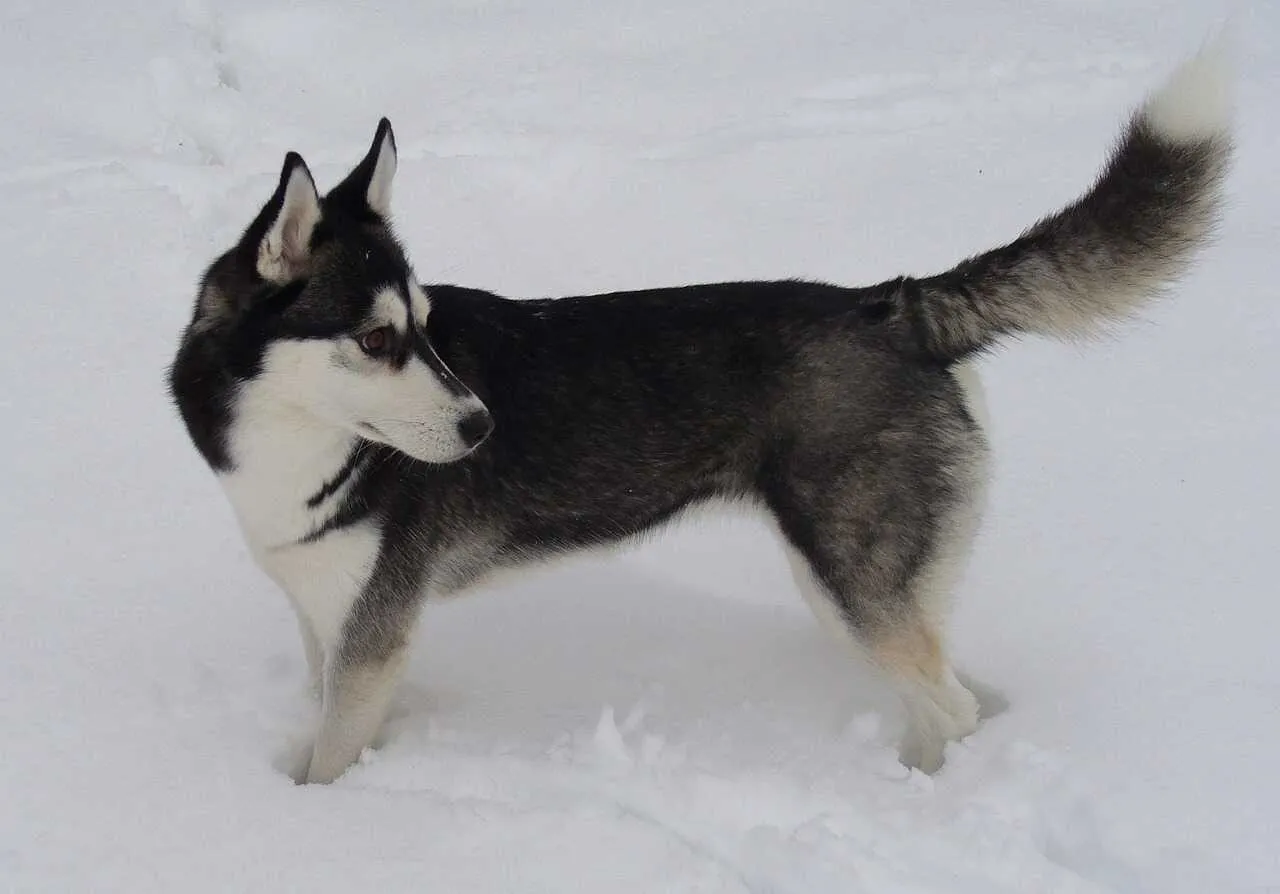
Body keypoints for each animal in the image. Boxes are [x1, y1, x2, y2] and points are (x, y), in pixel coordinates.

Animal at [170, 47, 1228, 778]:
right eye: (377, 338)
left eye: (424, 330)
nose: (482, 428)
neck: (297, 444)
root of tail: (895, 303)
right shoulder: (328, 621)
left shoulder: (372, 634)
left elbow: (327, 765)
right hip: (860, 578)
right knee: (953, 696)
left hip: (851, 581)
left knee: (950, 706)